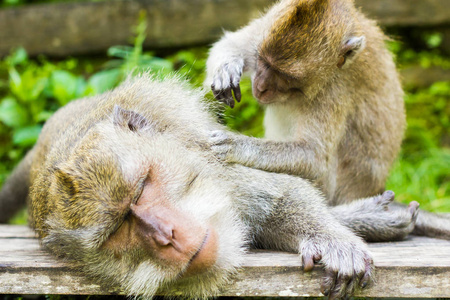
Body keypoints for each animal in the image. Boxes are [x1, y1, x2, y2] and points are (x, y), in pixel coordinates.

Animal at [0, 75, 420, 298]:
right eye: (119, 229)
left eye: (143, 187)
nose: (166, 235)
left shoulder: (216, 162)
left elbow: (283, 196)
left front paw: (336, 239)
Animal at [207, 0, 450, 239]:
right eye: (263, 61)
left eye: (285, 76)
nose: (260, 86)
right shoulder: (266, 28)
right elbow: (231, 42)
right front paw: (226, 68)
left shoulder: (334, 90)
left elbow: (313, 157)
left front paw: (237, 145)